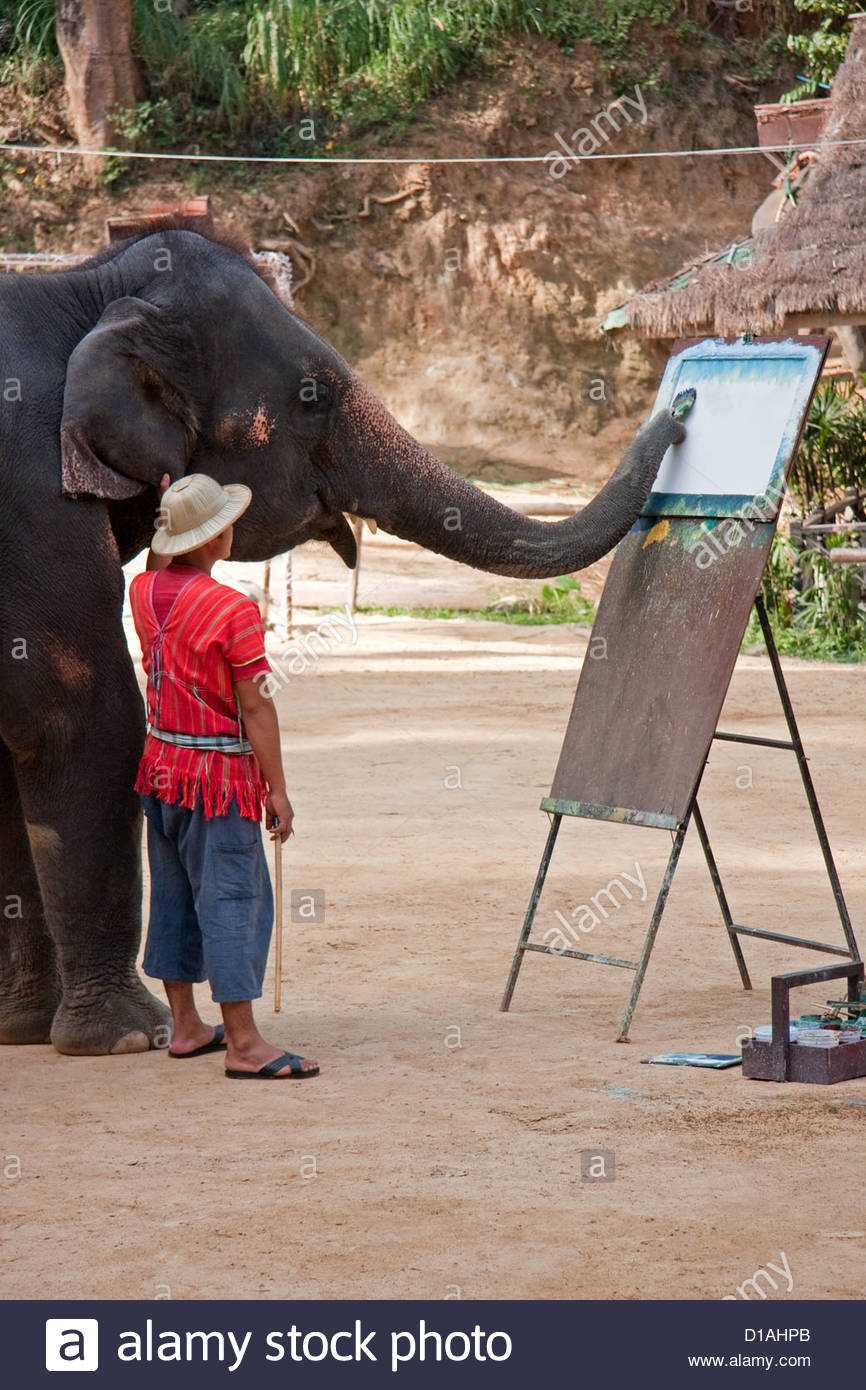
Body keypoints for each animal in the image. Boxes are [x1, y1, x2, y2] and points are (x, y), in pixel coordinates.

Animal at [0, 225, 686, 1055]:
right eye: (313, 395)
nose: (680, 409)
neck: (82, 290)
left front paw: (23, 1029)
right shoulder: (32, 498)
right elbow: (76, 720)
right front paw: (128, 1037)